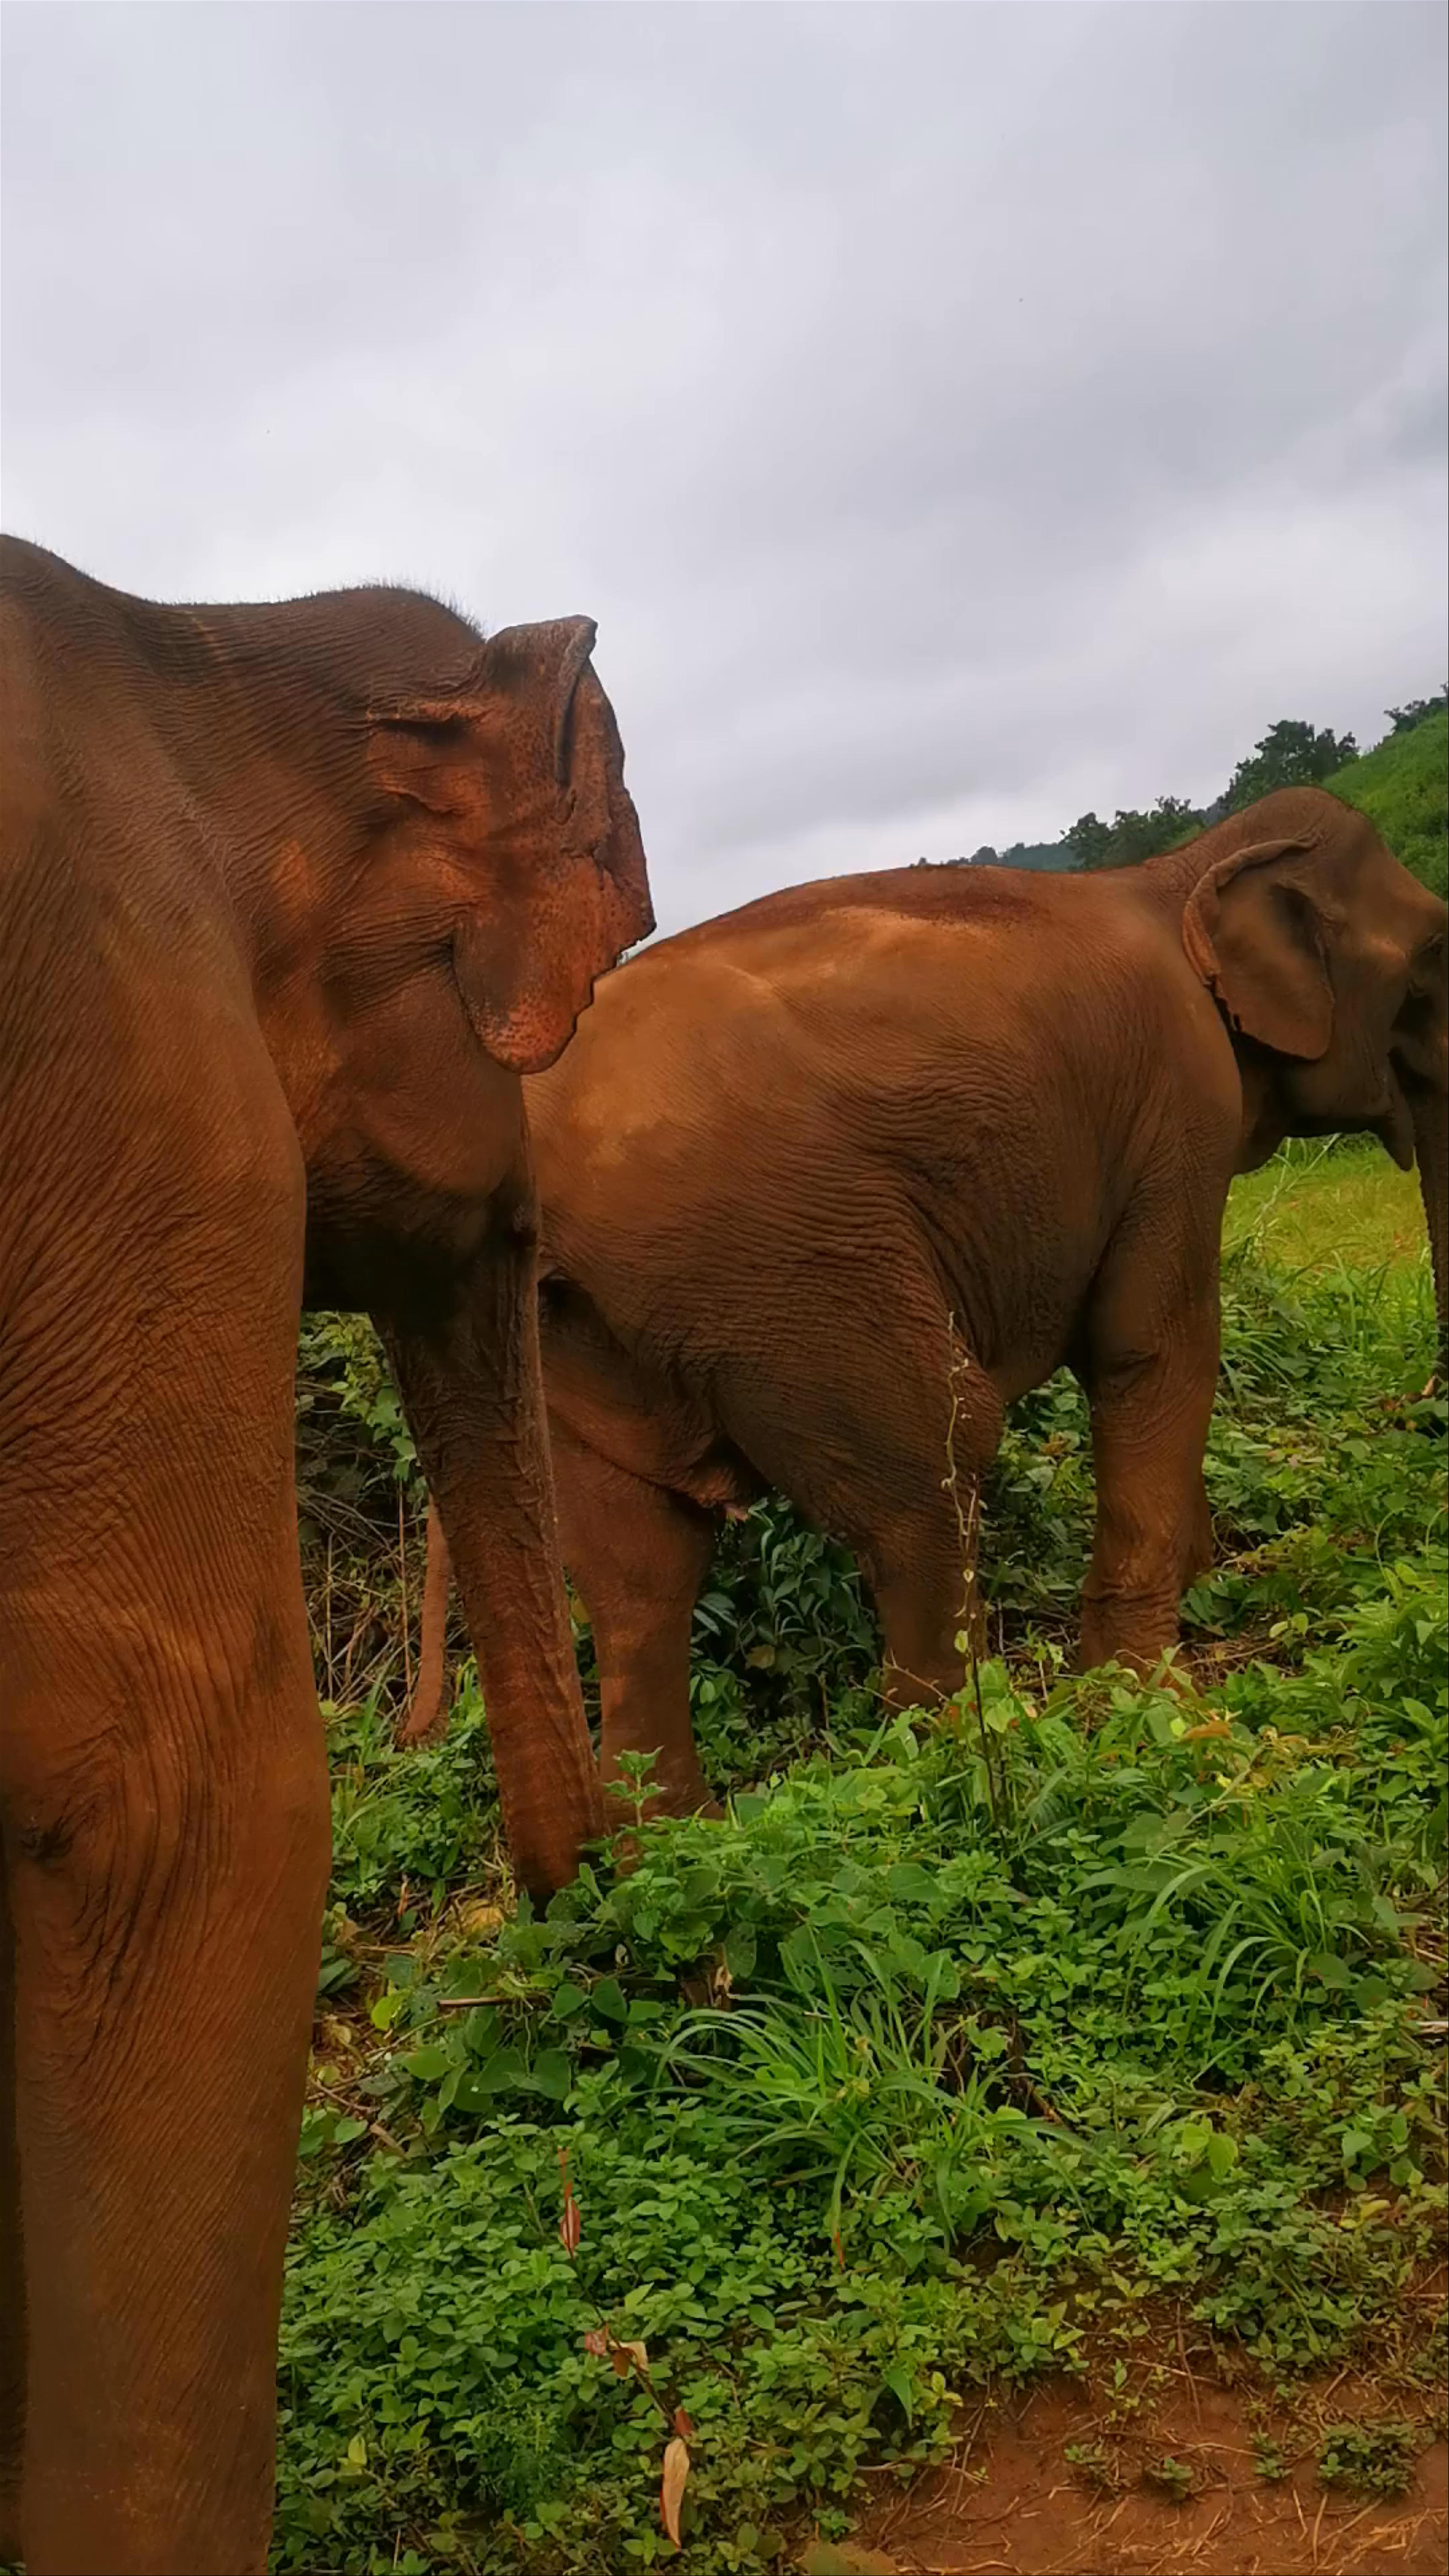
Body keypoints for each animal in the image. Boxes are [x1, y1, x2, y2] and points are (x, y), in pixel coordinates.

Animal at [402, 787, 1447, 1824]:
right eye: (1433, 958)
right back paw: (947, 1761)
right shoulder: (1182, 1098)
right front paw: (1145, 1696)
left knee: (638, 1571)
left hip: (570, 1332)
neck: (1176, 875)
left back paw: (669, 1843)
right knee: (931, 1462)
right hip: (777, 1259)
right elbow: (1151, 1347)